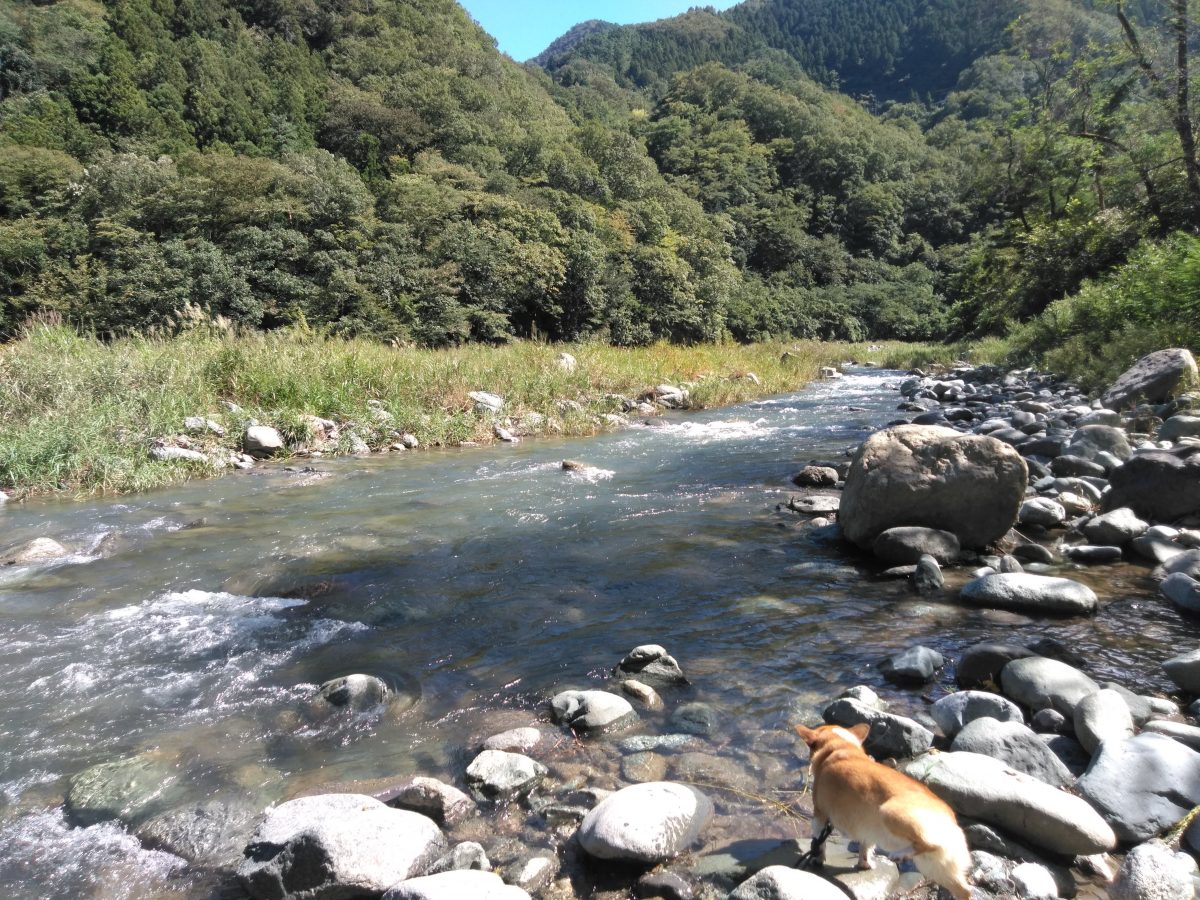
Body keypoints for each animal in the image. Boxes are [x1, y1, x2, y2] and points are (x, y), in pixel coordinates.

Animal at [796, 724, 974, 900]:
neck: (839, 745)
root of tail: (949, 818)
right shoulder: (866, 828)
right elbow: (865, 848)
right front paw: (864, 864)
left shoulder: (819, 814)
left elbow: (819, 843)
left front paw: (817, 859)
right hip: (933, 865)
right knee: (964, 890)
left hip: (888, 812)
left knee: (928, 844)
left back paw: (900, 853)